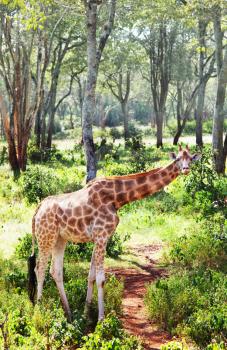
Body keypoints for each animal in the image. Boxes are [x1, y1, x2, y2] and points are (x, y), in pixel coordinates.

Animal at [27, 144, 200, 322]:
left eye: (190, 158)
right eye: (178, 159)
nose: (186, 169)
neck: (117, 198)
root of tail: (37, 210)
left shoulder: (99, 237)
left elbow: (91, 276)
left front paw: (86, 313)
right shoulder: (102, 235)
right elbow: (101, 279)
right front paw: (101, 319)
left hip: (60, 239)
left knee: (56, 271)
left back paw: (69, 314)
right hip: (46, 237)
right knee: (39, 269)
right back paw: (38, 311)